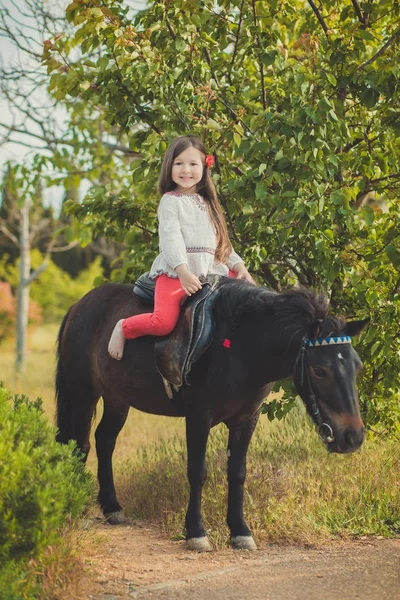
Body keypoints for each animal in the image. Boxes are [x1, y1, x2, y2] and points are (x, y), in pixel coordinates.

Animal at [54, 282, 368, 552]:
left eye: (357, 366)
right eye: (320, 370)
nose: (352, 436)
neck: (241, 347)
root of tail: (79, 306)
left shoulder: (246, 419)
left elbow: (237, 472)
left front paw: (240, 531)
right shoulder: (198, 416)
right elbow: (197, 471)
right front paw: (196, 533)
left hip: (117, 398)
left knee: (105, 440)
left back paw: (112, 507)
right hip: (83, 394)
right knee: (80, 445)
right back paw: (78, 509)